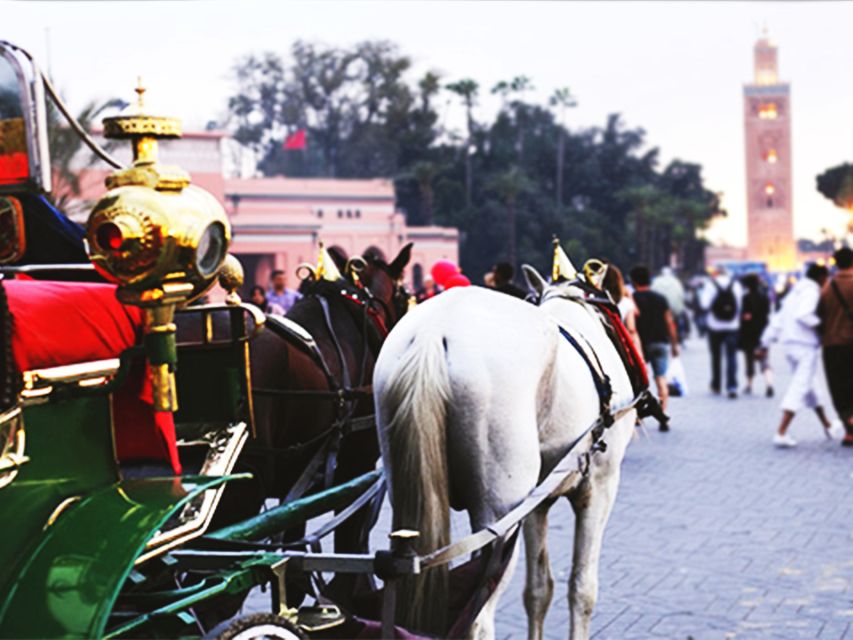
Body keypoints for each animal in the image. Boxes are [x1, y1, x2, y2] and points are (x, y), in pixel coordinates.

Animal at [376, 270, 636, 640]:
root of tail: (432, 333)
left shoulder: (537, 503)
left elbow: (539, 589)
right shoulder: (600, 486)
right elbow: (582, 588)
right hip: (500, 515)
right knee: (478, 618)